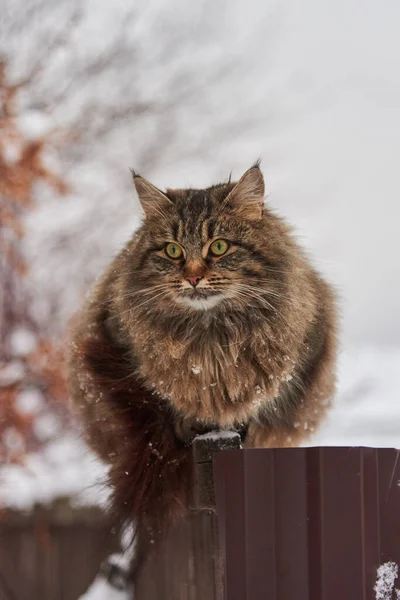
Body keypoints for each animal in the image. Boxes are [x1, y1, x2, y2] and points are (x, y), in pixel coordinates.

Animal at [68, 163, 338, 572]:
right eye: (173, 250)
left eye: (219, 246)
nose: (193, 277)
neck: (210, 335)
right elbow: (163, 405)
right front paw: (188, 423)